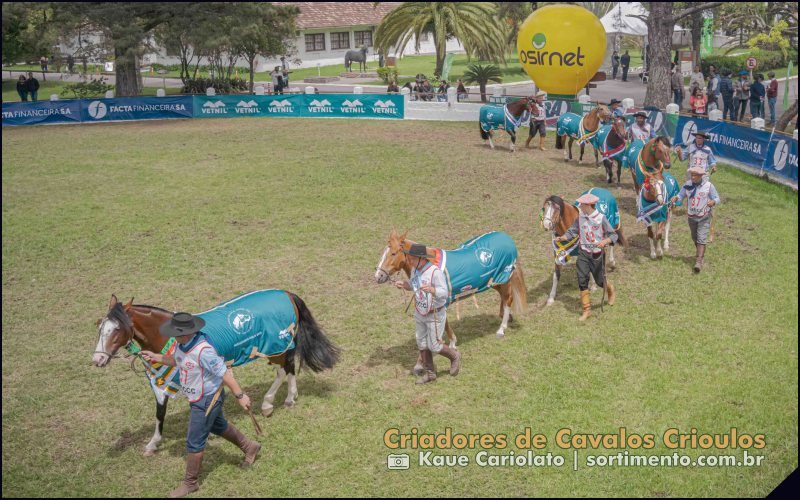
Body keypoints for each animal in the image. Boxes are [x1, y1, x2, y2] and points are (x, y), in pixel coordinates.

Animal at [92, 290, 340, 458]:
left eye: (116, 329)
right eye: (100, 328)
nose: (98, 360)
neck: (170, 336)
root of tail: (286, 294)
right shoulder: (164, 380)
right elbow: (160, 413)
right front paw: (153, 443)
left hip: (276, 346)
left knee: (285, 368)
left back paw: (276, 402)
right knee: (286, 369)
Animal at [374, 229, 528, 372]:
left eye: (393, 253)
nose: (378, 276)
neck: (429, 265)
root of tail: (506, 237)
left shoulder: (441, 301)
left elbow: (439, 328)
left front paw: (423, 361)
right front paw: (451, 343)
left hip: (504, 277)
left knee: (508, 299)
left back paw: (501, 329)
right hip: (494, 281)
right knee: (503, 297)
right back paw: (506, 317)